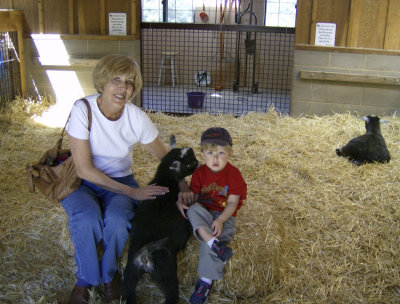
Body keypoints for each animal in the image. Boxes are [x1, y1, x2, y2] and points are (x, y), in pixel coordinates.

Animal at [122, 136, 197, 304]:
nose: (198, 163)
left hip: (130, 272)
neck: (165, 182)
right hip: (167, 275)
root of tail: (144, 256)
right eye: (188, 164)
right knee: (171, 295)